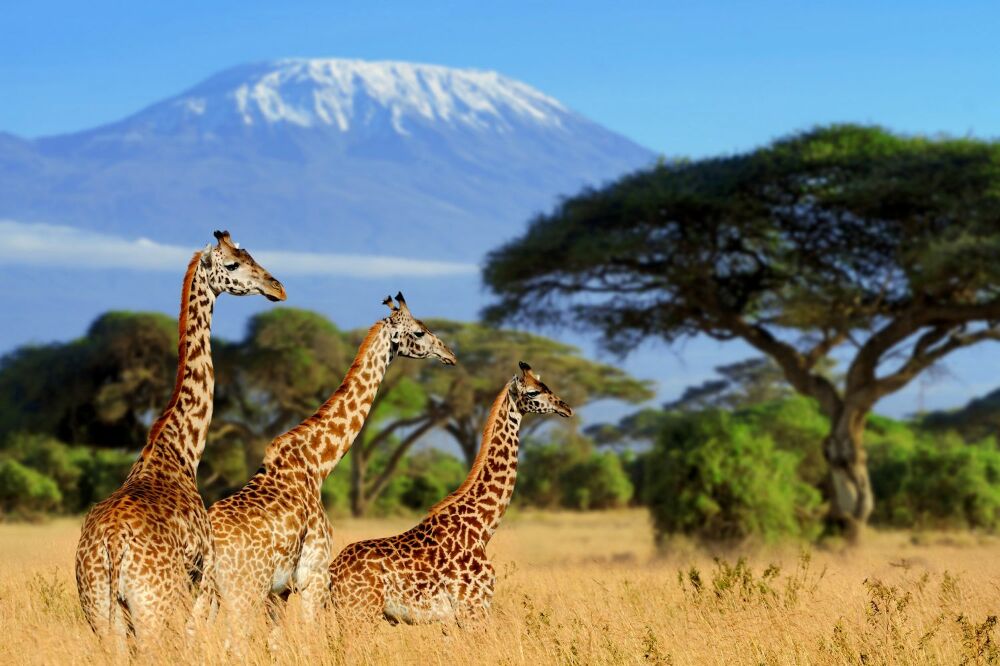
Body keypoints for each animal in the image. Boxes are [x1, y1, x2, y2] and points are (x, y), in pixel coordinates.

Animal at [73, 230, 286, 644]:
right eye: (233, 263)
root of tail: (111, 545)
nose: (277, 287)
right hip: (154, 607)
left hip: (100, 613)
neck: (180, 449)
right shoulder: (202, 582)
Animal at [205, 292, 458, 628]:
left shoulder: (280, 591)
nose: (450, 354)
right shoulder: (313, 575)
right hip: (243, 590)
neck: (318, 463)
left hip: (207, 593)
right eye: (418, 332)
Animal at [330, 360, 572, 620]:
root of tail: (331, 573)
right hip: (360, 611)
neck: (482, 527)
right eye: (533, 392)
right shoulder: (473, 607)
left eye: (546, 385)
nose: (566, 408)